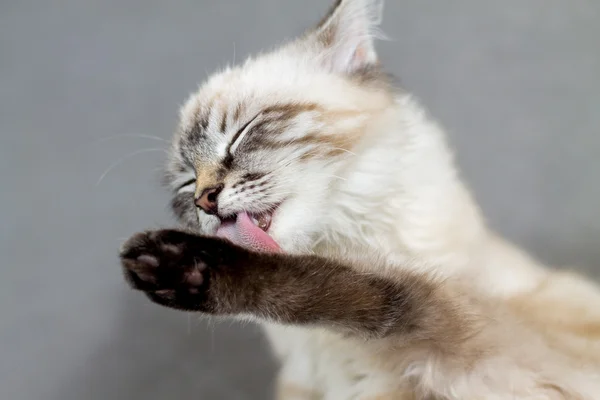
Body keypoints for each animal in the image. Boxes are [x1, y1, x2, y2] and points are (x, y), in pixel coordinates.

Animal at [119, 1, 600, 398]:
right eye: (186, 182)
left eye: (240, 135)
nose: (206, 200)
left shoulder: (480, 347)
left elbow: (372, 292)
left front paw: (179, 264)